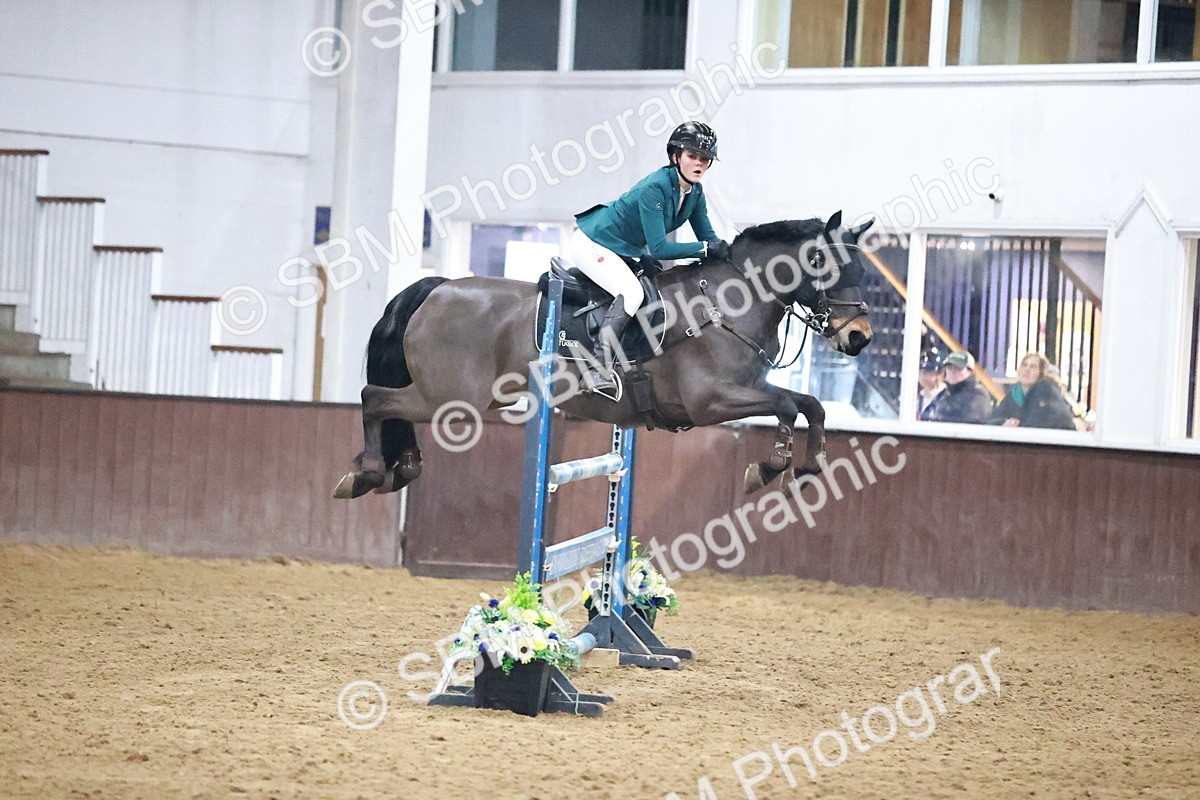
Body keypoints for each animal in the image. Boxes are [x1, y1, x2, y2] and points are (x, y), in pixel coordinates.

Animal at [333, 212, 875, 500]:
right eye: (826, 263)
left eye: (863, 269)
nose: (859, 338)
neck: (727, 301)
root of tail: (438, 287)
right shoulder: (711, 401)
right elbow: (786, 406)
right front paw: (770, 465)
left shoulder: (749, 388)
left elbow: (809, 405)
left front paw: (811, 464)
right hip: (452, 399)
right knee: (375, 398)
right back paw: (369, 471)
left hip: (458, 398)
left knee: (390, 405)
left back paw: (401, 467)